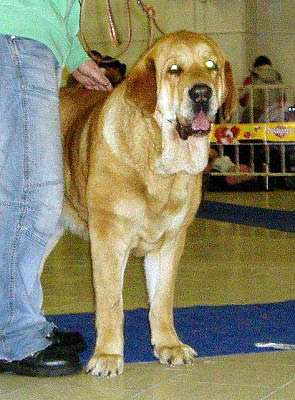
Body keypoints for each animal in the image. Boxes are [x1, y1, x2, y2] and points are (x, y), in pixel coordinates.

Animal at [60, 30, 238, 376]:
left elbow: (161, 299)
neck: (160, 167)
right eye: (174, 70)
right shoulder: (109, 240)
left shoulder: (170, 242)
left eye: (211, 66)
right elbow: (111, 303)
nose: (201, 93)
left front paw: (169, 346)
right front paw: (107, 356)